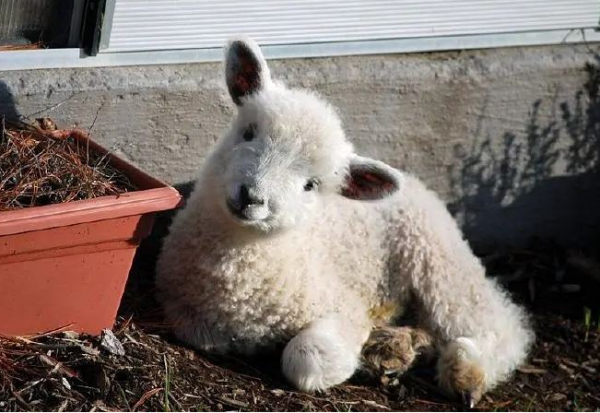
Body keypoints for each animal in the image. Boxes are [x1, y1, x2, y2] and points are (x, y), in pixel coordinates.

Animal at [156, 36, 536, 406]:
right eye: (248, 133)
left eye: (311, 185)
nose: (251, 196)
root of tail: (418, 184)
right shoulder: (186, 313)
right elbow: (208, 336)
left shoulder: (345, 307)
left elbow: (306, 358)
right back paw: (396, 347)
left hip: (437, 259)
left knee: (498, 323)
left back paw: (465, 371)